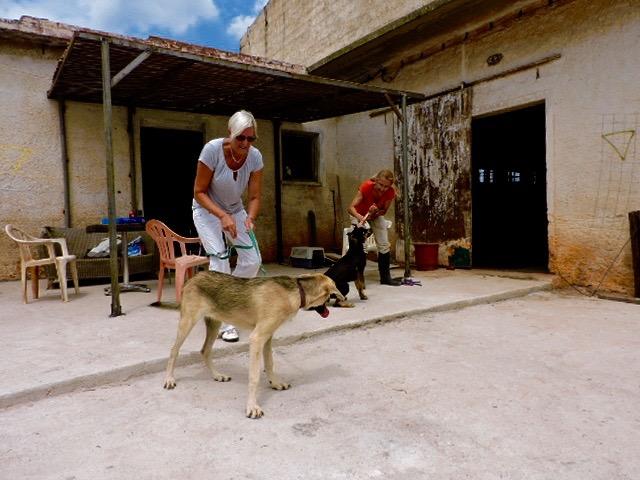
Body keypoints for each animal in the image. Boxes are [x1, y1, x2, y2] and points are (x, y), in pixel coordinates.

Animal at [163, 270, 344, 419]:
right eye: (328, 297)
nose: (328, 310)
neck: (297, 291)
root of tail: (194, 277)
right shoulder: (257, 338)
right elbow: (254, 376)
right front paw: (252, 407)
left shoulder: (268, 337)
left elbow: (270, 364)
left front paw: (275, 383)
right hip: (188, 322)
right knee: (174, 350)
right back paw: (169, 379)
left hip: (214, 324)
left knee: (205, 351)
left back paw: (217, 375)